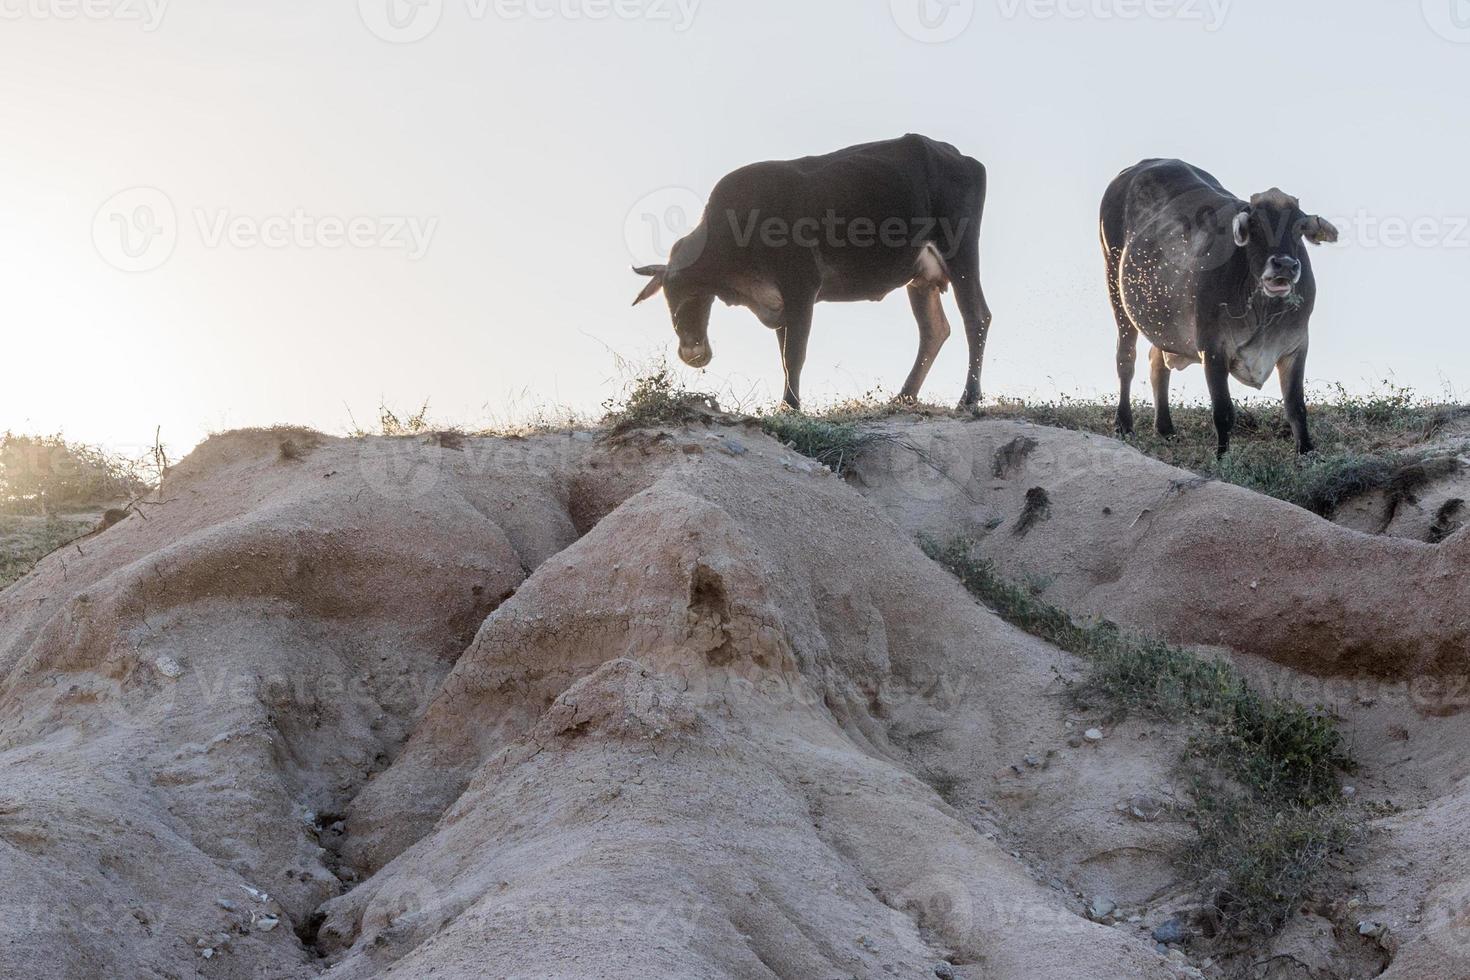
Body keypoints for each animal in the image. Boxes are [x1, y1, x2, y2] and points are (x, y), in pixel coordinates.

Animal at [1099, 160, 1340, 455]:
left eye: (1299, 228)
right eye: (1255, 225)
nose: (1284, 265)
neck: (1263, 311)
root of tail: (1143, 164)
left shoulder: (1296, 346)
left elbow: (1296, 407)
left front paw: (1306, 451)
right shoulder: (1212, 347)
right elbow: (1223, 411)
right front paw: (1222, 455)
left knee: (1157, 362)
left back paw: (1165, 428)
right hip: (1114, 282)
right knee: (1126, 358)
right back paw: (1124, 424)